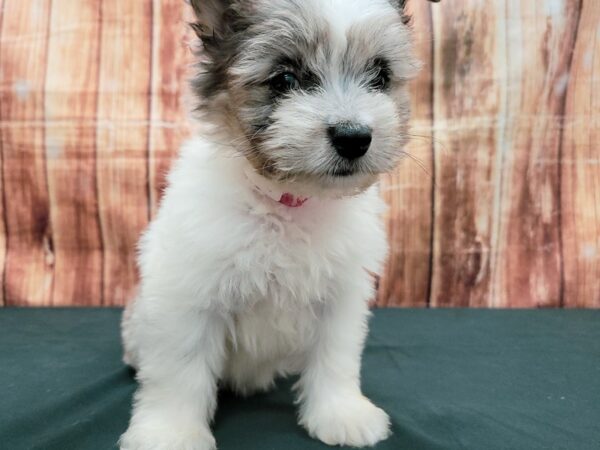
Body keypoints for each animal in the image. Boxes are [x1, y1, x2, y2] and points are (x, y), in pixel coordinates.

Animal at [120, 0, 436, 450]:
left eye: (380, 75)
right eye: (285, 78)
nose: (354, 137)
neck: (285, 203)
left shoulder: (341, 295)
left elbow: (336, 356)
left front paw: (340, 412)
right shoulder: (187, 295)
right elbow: (179, 369)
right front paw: (170, 433)